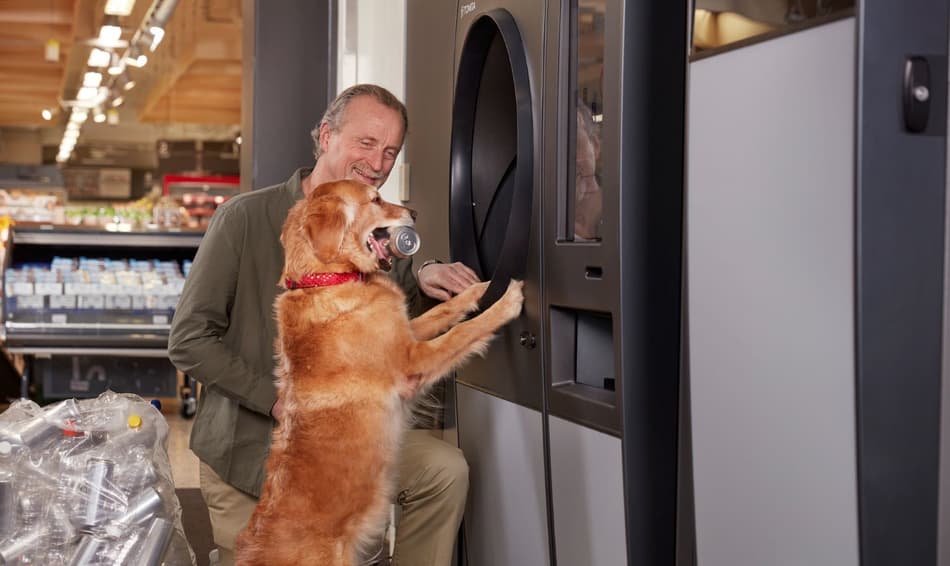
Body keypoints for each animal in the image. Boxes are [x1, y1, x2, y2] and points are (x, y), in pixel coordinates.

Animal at [235, 180, 524, 564]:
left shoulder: (408, 333)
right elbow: (461, 333)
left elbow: (444, 312)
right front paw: (506, 302)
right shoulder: (412, 362)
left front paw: (479, 289)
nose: (413, 212)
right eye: (375, 200)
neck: (329, 278)